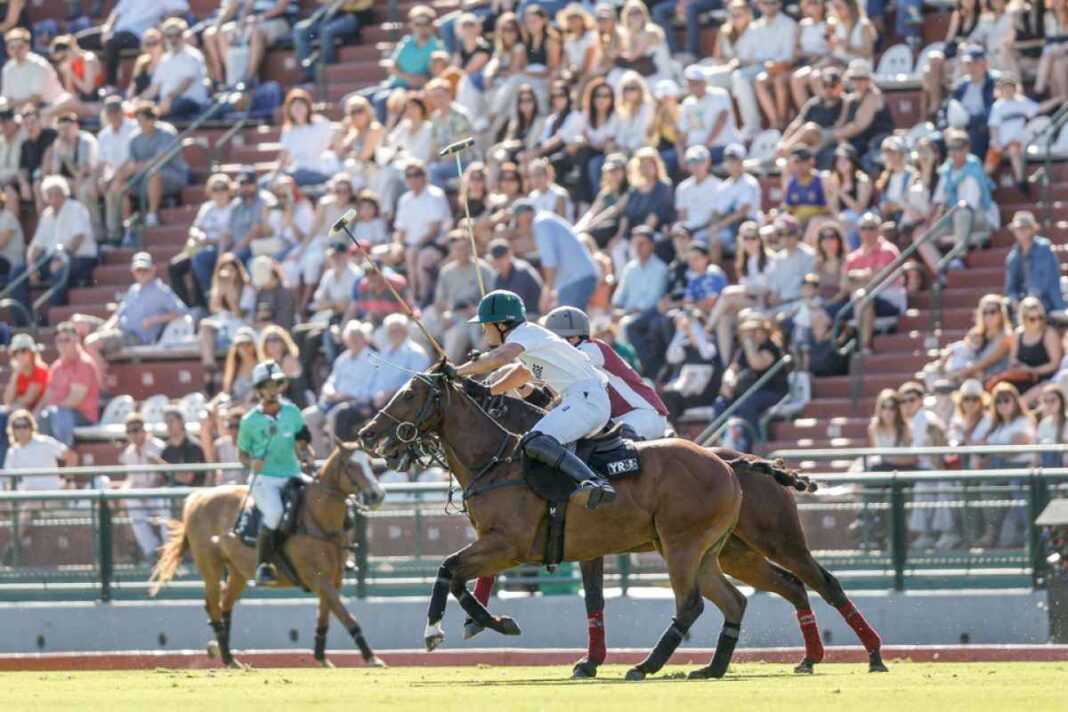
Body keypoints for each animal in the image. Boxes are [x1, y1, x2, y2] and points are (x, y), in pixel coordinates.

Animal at [148, 441, 386, 670]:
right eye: (351, 465)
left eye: (370, 464)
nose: (377, 495)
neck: (319, 518)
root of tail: (197, 497)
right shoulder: (317, 578)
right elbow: (346, 616)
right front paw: (371, 657)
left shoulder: (333, 579)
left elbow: (325, 615)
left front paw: (321, 657)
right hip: (210, 566)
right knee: (214, 605)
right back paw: (227, 656)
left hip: (238, 572)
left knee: (225, 603)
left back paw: (227, 656)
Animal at [354, 371, 747, 683]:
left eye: (409, 394)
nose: (366, 433)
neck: (494, 460)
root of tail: (728, 468)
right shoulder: (499, 545)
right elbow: (456, 578)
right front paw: (498, 622)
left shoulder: (509, 545)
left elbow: (447, 569)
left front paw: (434, 631)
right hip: (702, 552)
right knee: (734, 601)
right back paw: (711, 668)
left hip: (681, 546)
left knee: (690, 605)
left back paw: (645, 666)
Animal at [472, 392, 888, 678]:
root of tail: (751, 463)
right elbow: (593, 600)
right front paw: (588, 661)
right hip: (736, 554)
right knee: (789, 587)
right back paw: (807, 657)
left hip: (773, 540)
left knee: (823, 583)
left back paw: (872, 654)